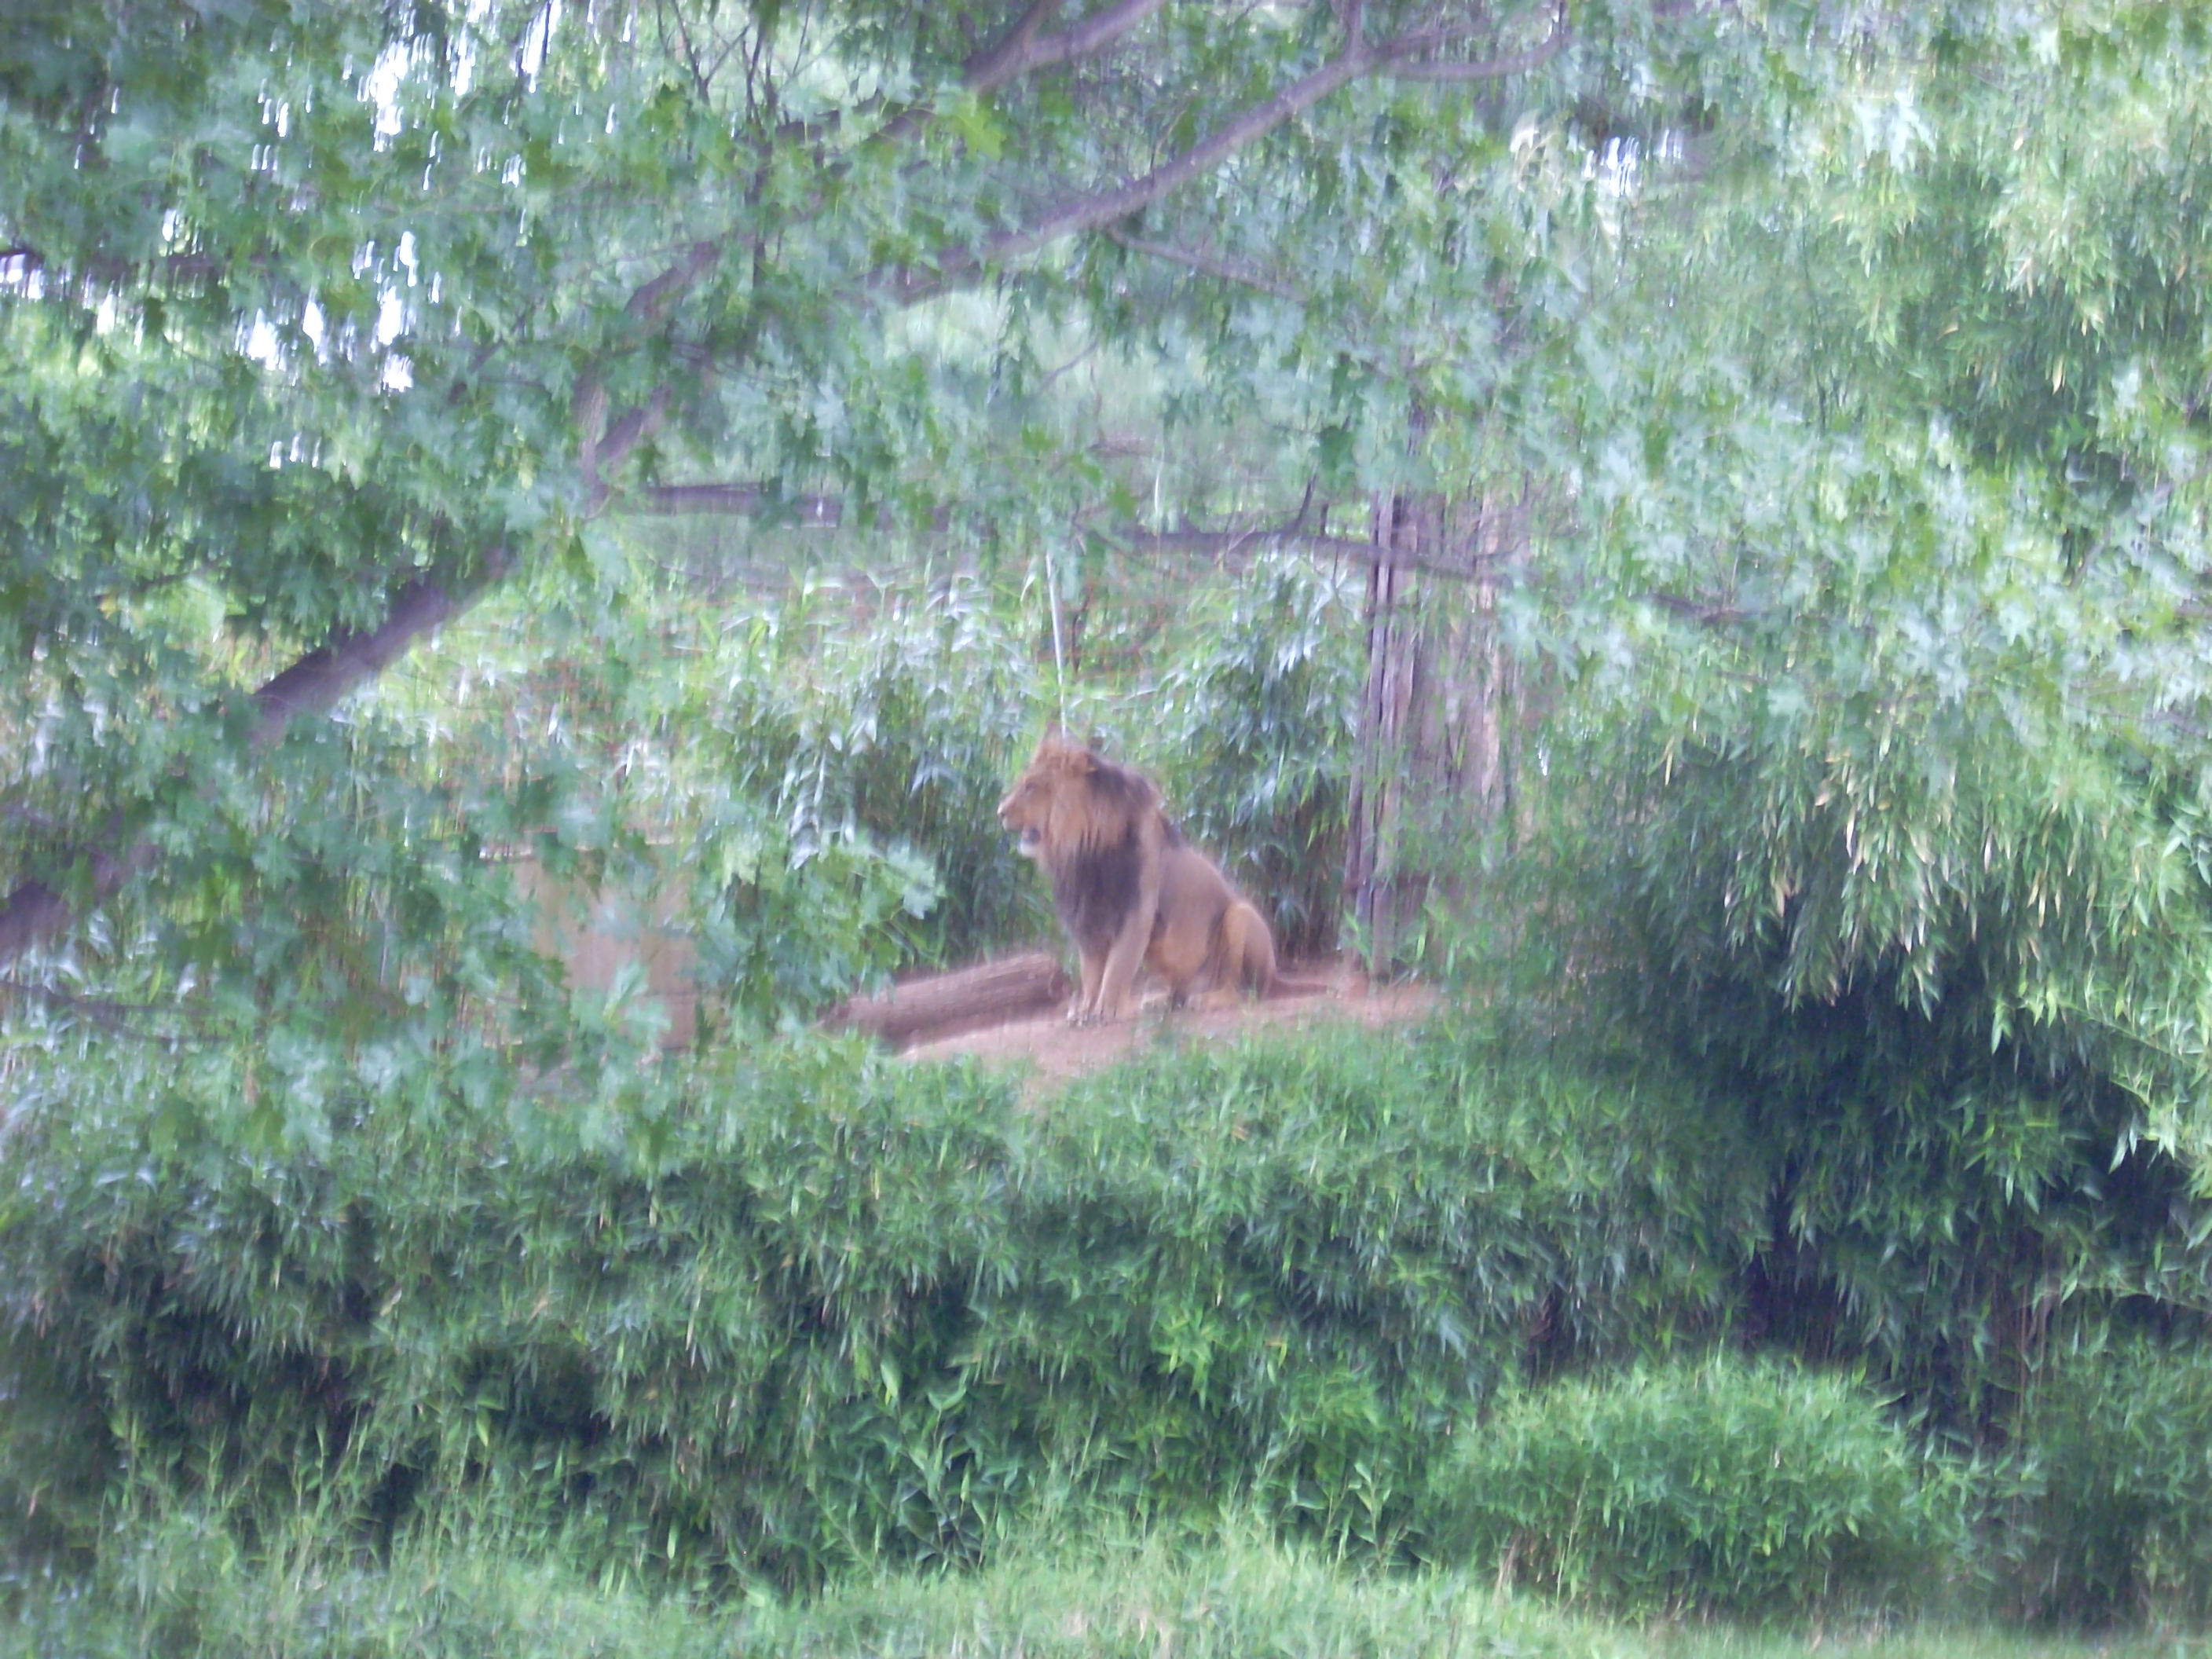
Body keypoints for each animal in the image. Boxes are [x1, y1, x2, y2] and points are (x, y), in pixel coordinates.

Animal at [997, 733, 1278, 1023]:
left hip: (1241, 916)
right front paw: (1085, 1010)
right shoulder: (1088, 914)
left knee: (1243, 990)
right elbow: (1091, 970)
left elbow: (1117, 966)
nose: (1000, 812)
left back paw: (1208, 999)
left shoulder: (1136, 910)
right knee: (1179, 993)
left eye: (1030, 787)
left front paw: (1106, 1010)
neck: (1082, 847)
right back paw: (1159, 1001)